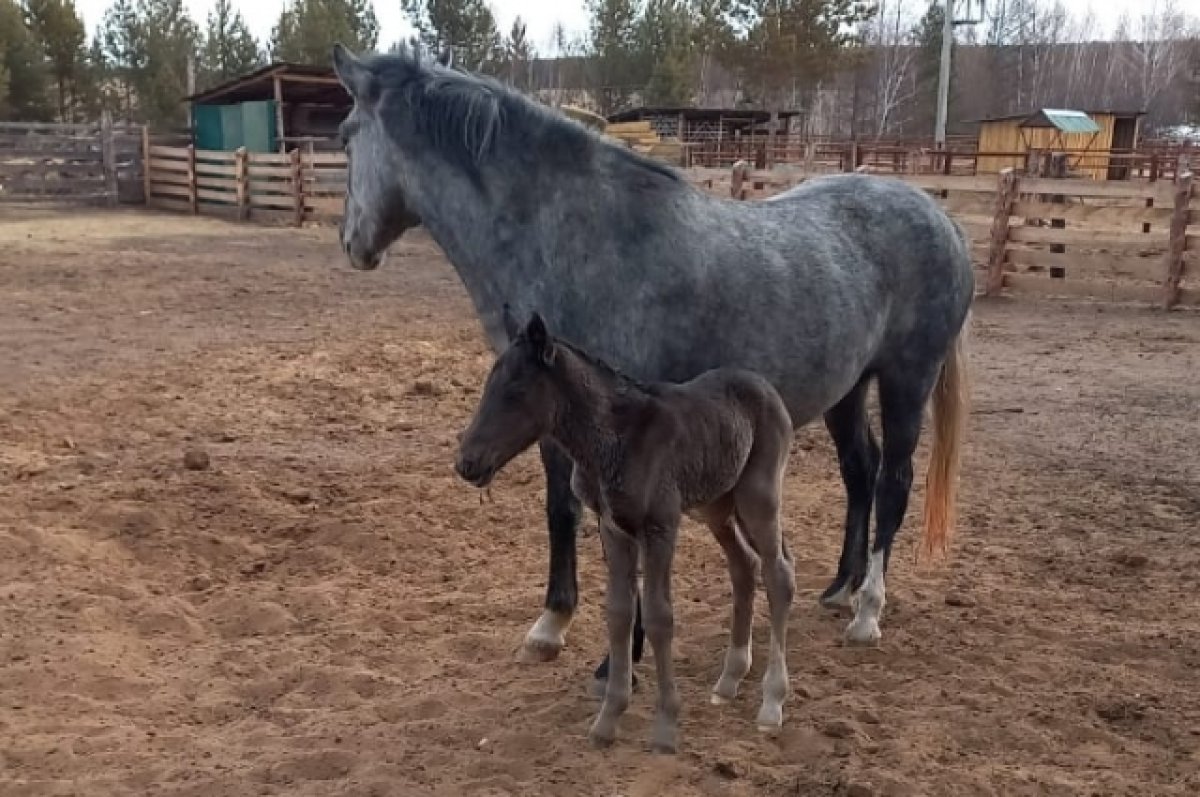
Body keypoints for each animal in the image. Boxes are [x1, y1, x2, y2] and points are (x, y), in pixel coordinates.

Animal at [328, 40, 974, 681]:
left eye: (344, 136)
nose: (351, 244)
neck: (576, 236)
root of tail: (938, 216)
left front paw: (622, 656)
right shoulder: (552, 417)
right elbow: (560, 510)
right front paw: (551, 625)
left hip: (906, 379)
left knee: (894, 480)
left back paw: (868, 610)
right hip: (848, 388)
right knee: (860, 471)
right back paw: (841, 588)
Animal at [456, 312, 796, 753]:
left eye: (516, 391)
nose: (467, 462)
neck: (614, 439)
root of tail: (764, 386)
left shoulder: (660, 526)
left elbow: (658, 615)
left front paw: (666, 727)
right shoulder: (614, 528)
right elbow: (618, 612)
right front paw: (607, 721)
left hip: (758, 497)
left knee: (778, 574)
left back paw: (772, 703)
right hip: (716, 505)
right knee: (744, 564)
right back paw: (729, 680)